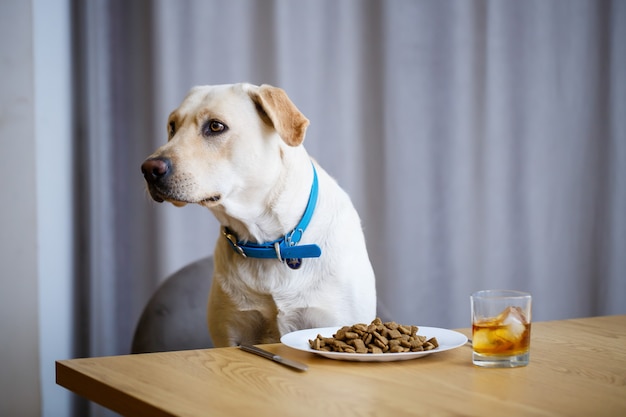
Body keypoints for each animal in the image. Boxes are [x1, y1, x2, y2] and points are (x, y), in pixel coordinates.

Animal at [143, 83, 376, 344]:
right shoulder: (229, 333)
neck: (269, 241)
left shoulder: (332, 320)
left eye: (215, 126)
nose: (148, 169)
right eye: (172, 126)